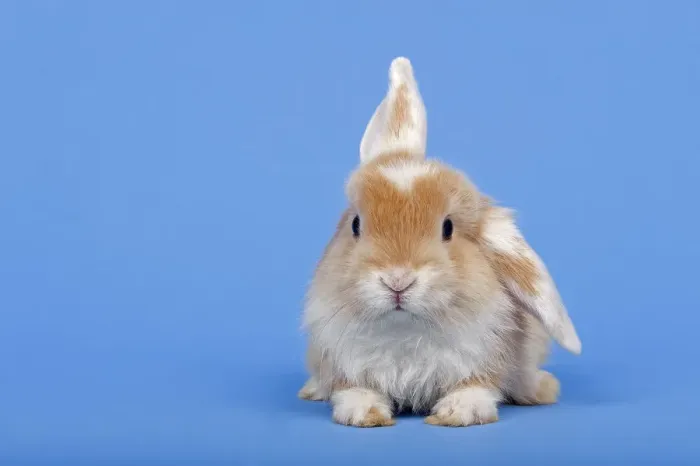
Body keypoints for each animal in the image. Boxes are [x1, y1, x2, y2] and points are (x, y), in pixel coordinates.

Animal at [298, 57, 581, 428]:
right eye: (356, 224)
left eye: (448, 228)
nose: (398, 280)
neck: (404, 329)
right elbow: (355, 390)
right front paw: (364, 414)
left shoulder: (483, 359)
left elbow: (476, 387)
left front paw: (457, 413)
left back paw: (542, 389)